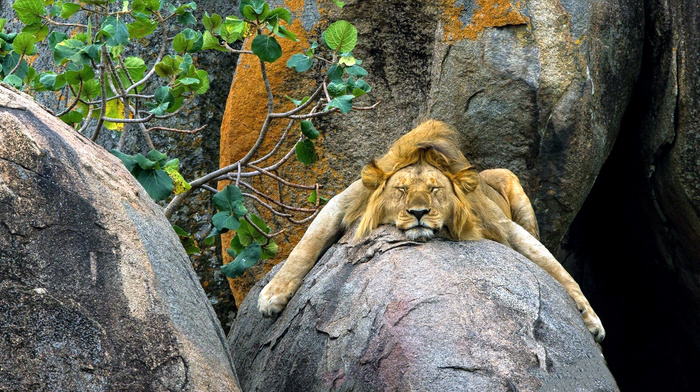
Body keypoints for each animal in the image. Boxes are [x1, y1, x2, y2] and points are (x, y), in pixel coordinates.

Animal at [260, 119, 604, 344]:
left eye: (434, 189)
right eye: (401, 190)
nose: (418, 213)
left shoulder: (505, 227)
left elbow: (555, 268)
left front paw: (590, 318)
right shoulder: (341, 204)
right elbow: (304, 248)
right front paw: (272, 296)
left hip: (513, 184)